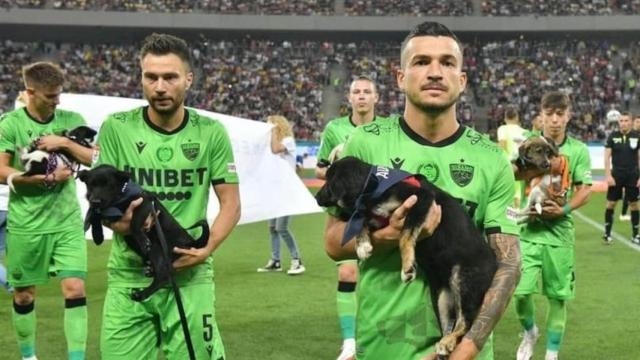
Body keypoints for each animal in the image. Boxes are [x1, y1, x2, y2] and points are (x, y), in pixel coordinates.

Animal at [76, 165, 209, 300]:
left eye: (108, 185)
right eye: (90, 185)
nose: (95, 200)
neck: (121, 195)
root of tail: (191, 242)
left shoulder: (143, 203)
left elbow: (133, 223)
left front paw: (143, 240)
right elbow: (94, 214)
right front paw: (97, 235)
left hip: (157, 248)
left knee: (164, 275)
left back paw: (141, 294)